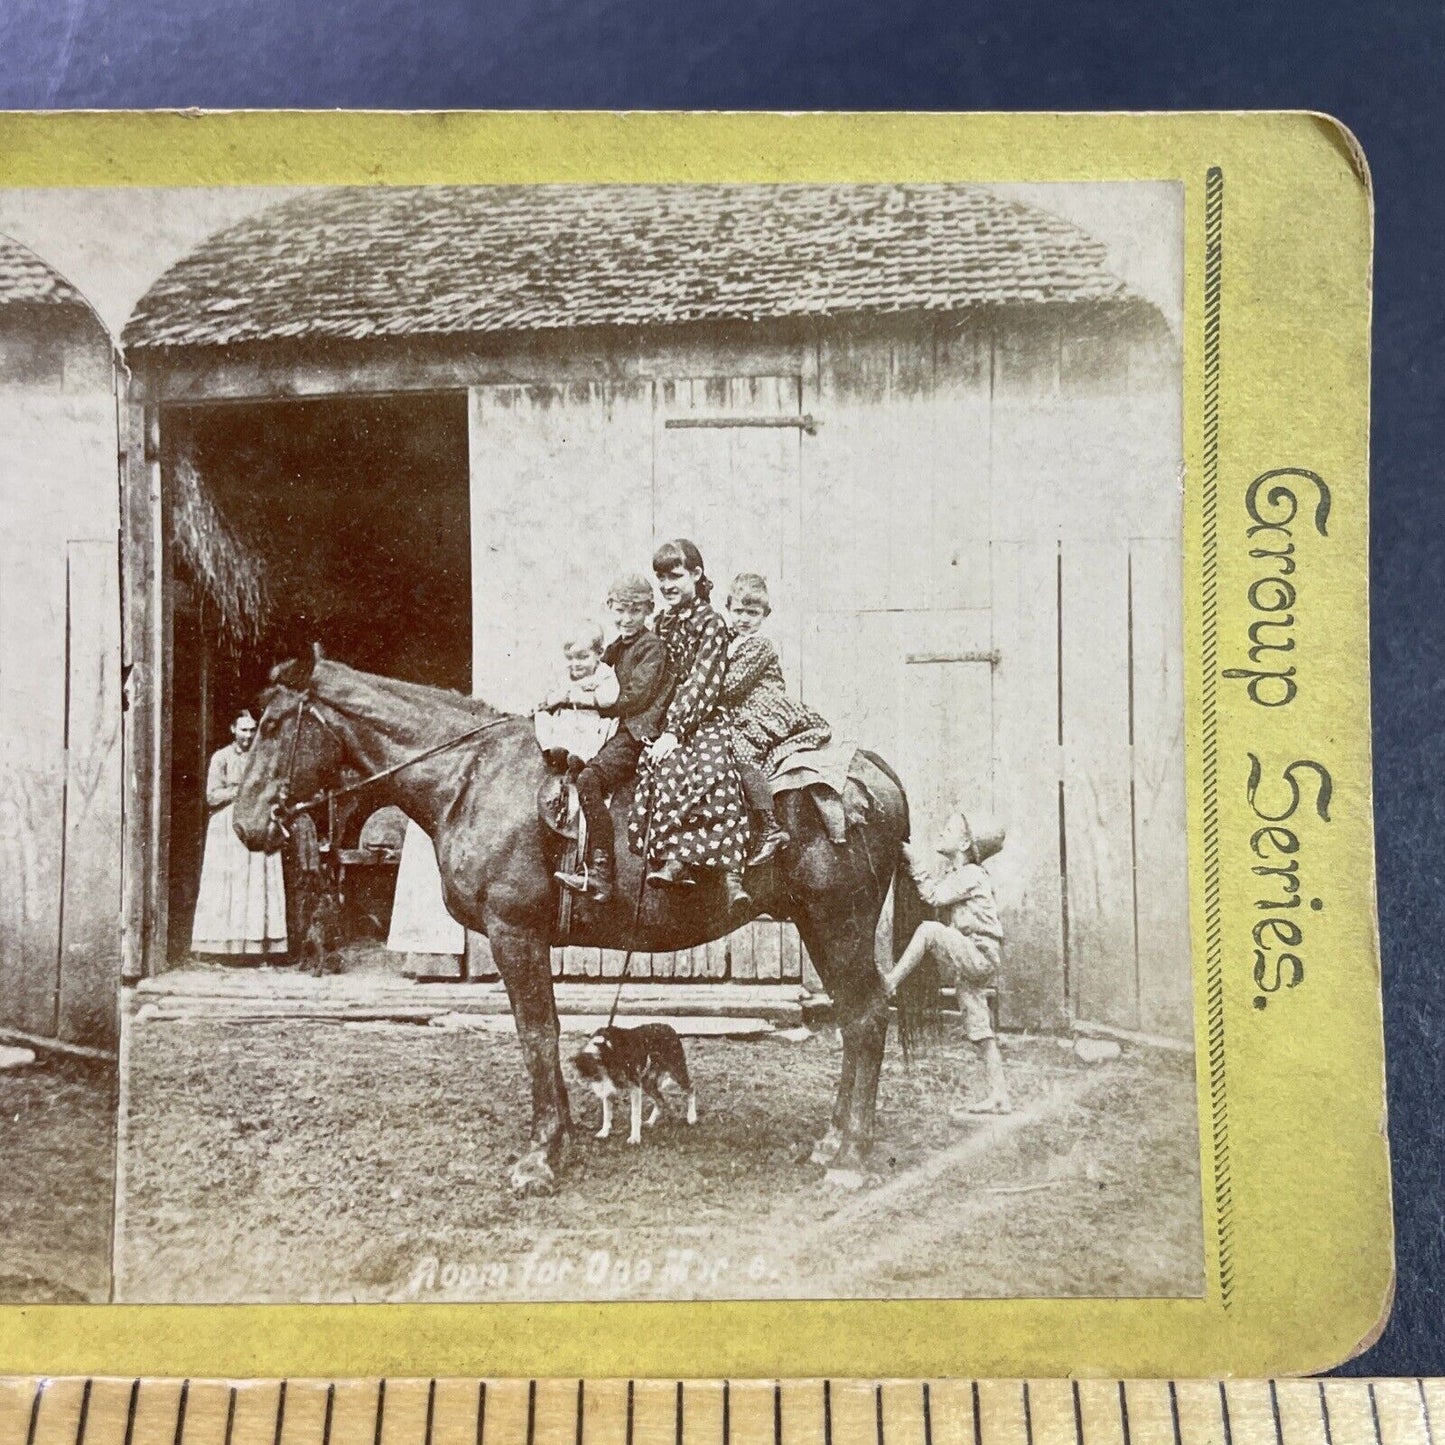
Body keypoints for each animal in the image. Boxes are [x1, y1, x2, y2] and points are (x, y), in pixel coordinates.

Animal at [569, 1023, 699, 1144]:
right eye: (593, 1076)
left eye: (608, 1070)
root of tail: (668, 1027)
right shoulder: (608, 1088)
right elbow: (607, 1113)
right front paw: (604, 1131)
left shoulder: (634, 1086)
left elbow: (634, 1115)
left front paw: (635, 1138)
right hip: (647, 1082)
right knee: (660, 1100)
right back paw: (650, 1121)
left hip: (676, 1070)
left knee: (691, 1088)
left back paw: (692, 1117)